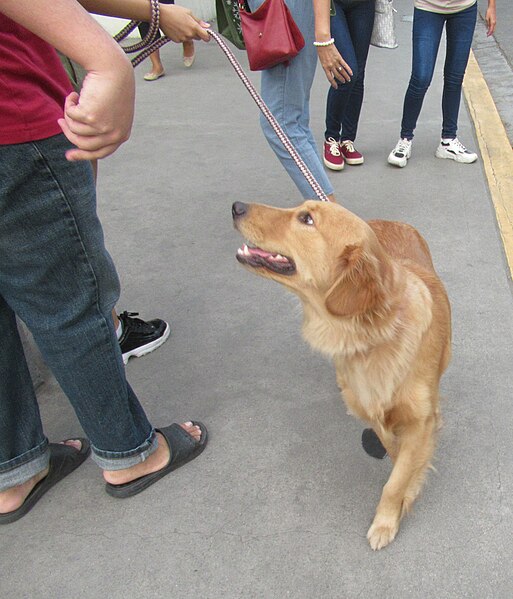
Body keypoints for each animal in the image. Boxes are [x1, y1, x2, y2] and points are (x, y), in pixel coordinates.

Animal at [234, 199, 450, 552]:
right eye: (300, 209)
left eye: (306, 219)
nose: (236, 206)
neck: (373, 335)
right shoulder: (374, 413)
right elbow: (396, 459)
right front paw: (404, 494)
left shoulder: (421, 420)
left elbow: (396, 478)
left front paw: (390, 514)